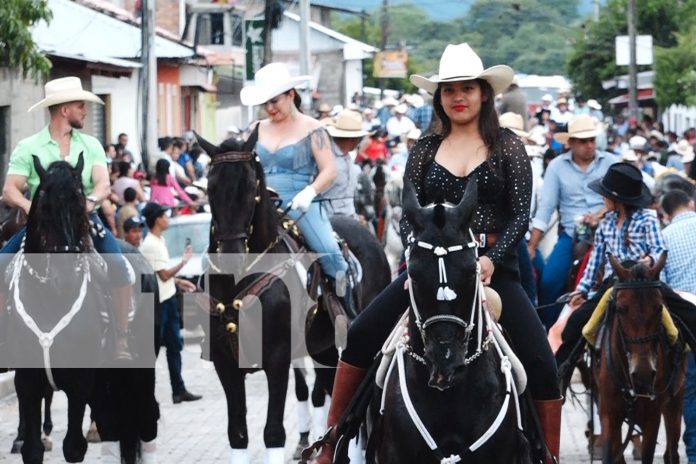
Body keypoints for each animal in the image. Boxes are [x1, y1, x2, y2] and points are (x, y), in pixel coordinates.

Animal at [196, 132, 392, 462]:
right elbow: (237, 433)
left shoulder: (277, 358)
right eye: (211, 187)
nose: (231, 254)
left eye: (251, 187)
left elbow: (274, 431)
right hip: (324, 348)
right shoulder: (225, 362)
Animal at [592, 254, 684, 464]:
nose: (643, 374)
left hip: (675, 401)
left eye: (659, 308)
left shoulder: (652, 417)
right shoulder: (609, 414)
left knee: (672, 451)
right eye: (621, 309)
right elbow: (611, 455)